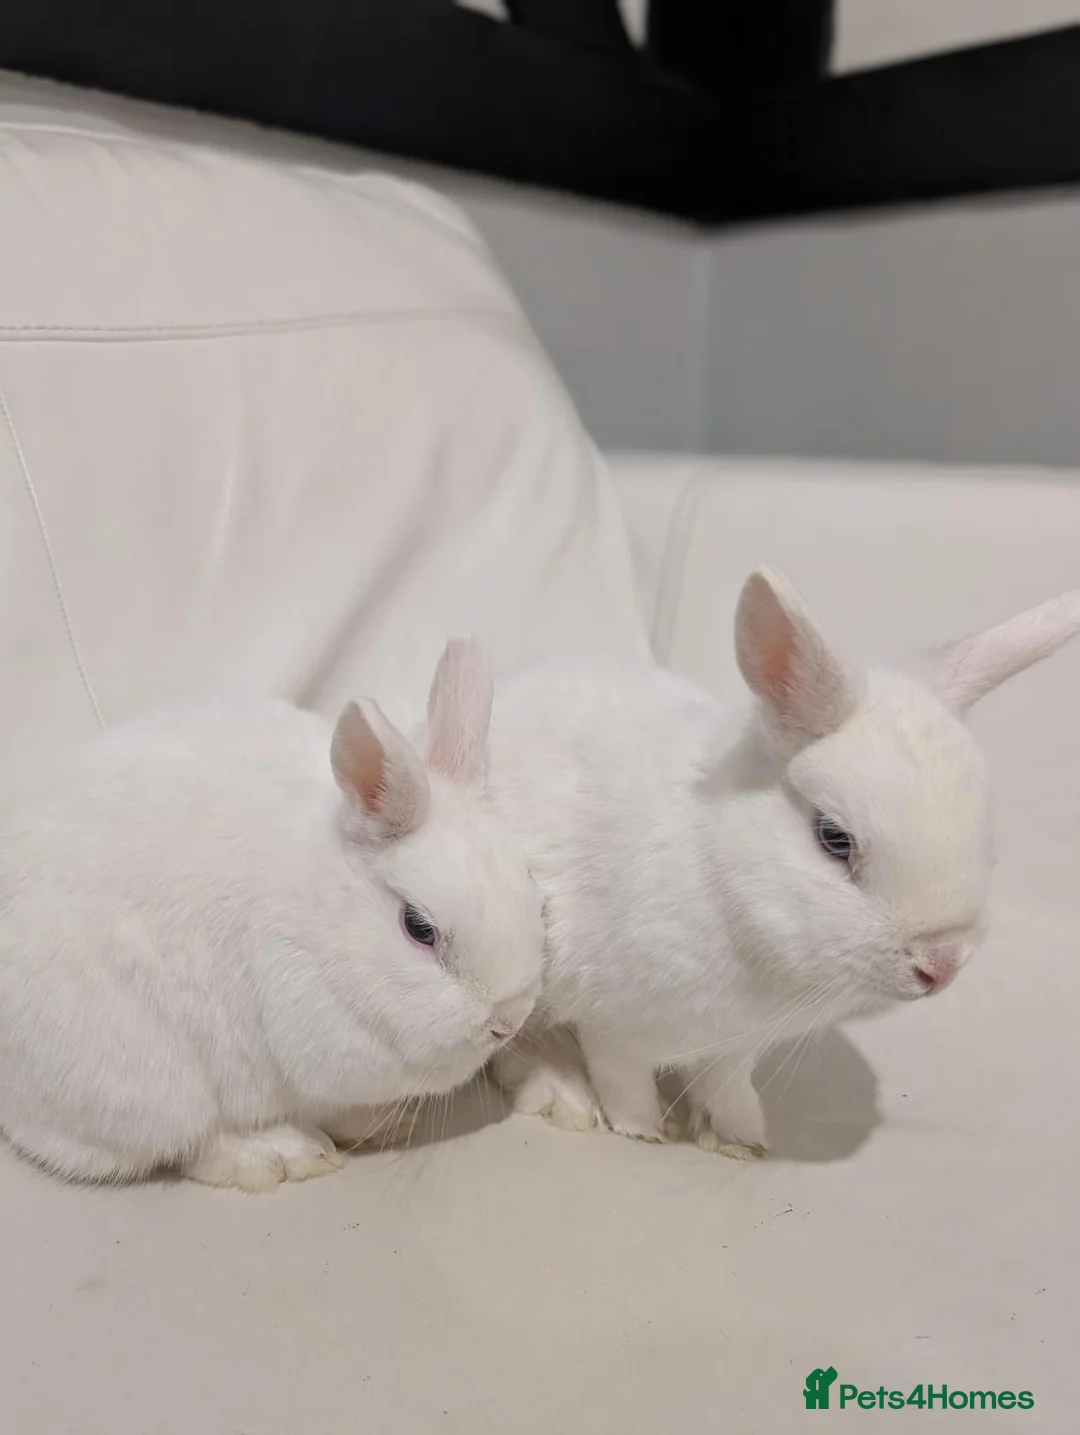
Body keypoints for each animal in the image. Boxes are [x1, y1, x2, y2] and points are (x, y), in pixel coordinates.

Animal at [0, 639, 544, 1192]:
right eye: (419, 928)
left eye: (530, 883)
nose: (509, 1020)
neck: (325, 918)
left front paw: (383, 1125)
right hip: (149, 1082)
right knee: (188, 1144)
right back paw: (281, 1155)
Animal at [486, 570, 1080, 1158]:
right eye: (834, 838)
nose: (941, 966)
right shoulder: (615, 1024)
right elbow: (623, 1080)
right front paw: (647, 1132)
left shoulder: (732, 1047)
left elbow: (725, 1087)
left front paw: (741, 1140)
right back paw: (564, 1095)